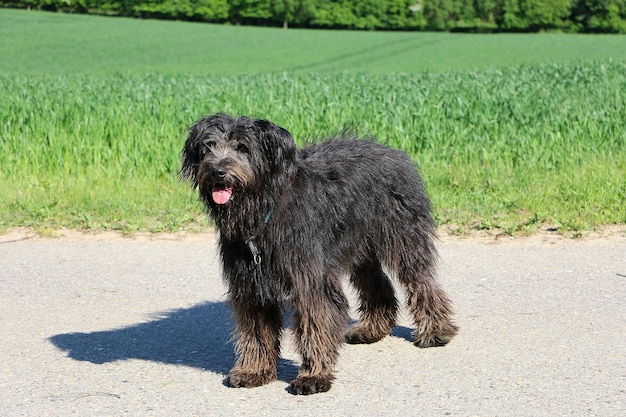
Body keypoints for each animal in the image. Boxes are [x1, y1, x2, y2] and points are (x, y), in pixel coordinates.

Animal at [178, 113, 456, 394]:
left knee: (421, 281)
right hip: (359, 249)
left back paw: (435, 331)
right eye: (208, 147)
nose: (217, 171)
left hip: (402, 236)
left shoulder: (310, 277)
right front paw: (253, 371)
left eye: (243, 148)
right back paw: (371, 330)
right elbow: (256, 331)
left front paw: (313, 376)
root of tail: (390, 150)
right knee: (376, 285)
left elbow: (316, 323)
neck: (263, 211)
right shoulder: (251, 283)